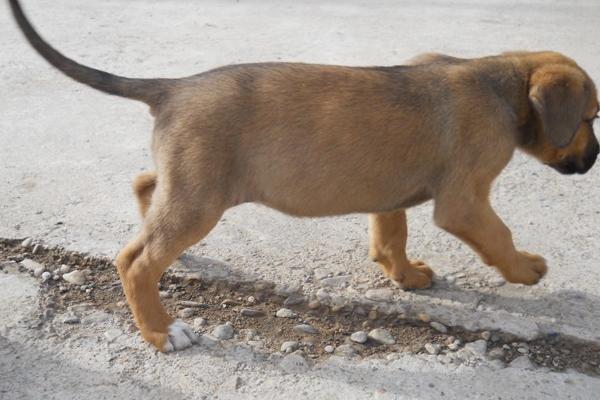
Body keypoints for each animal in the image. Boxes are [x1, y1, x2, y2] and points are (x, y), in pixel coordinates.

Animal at [9, 0, 596, 350]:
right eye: (590, 117)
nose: (593, 160)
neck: (505, 83)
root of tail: (173, 87)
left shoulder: (390, 194)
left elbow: (391, 237)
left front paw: (405, 276)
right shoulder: (466, 202)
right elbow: (499, 236)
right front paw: (526, 269)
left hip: (190, 182)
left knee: (145, 189)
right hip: (201, 198)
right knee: (135, 260)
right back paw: (159, 330)